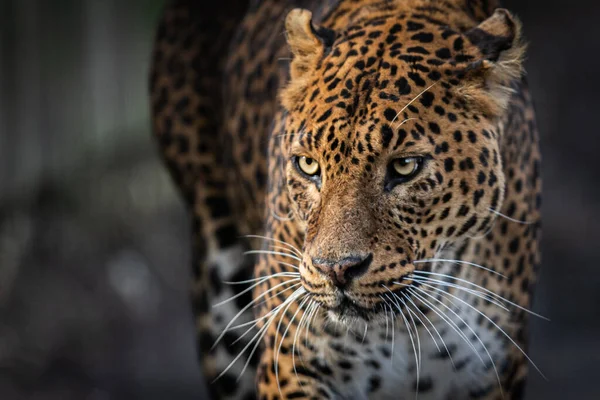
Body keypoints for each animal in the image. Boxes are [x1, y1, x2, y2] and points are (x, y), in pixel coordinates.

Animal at [151, 0, 544, 400]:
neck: (405, 327)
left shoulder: (491, 373)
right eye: (309, 165)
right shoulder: (290, 361)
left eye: (405, 166)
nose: (335, 270)